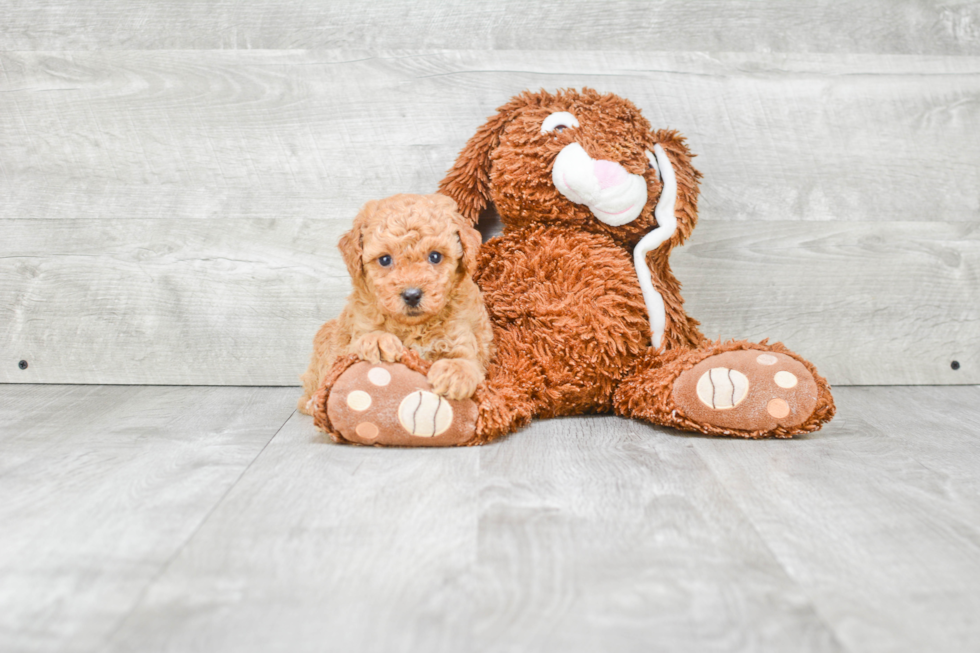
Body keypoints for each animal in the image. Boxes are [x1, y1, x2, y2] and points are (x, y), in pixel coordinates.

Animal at [294, 191, 494, 412]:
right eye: (385, 259)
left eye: (435, 256)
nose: (412, 295)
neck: (414, 326)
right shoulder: (353, 336)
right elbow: (359, 344)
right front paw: (378, 339)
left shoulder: (460, 335)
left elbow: (465, 359)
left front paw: (454, 371)